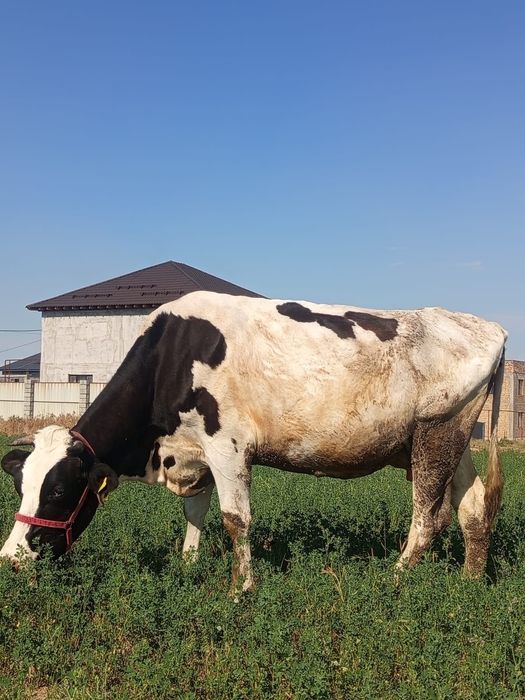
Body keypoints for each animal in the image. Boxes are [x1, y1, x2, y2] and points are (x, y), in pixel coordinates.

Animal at [1, 291, 506, 594]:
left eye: (59, 490)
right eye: (20, 486)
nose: (11, 558)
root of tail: (488, 327)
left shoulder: (228, 446)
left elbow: (235, 519)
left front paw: (240, 589)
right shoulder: (194, 454)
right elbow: (195, 513)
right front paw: (188, 566)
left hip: (436, 433)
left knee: (428, 517)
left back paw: (393, 580)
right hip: (454, 437)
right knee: (473, 508)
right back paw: (469, 584)